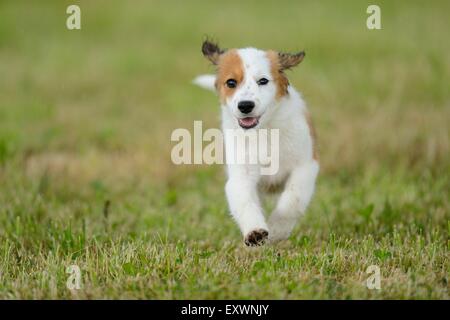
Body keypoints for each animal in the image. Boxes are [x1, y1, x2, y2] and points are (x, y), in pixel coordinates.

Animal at [195, 40, 318, 245]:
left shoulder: (305, 166)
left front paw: (277, 230)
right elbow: (245, 203)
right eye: (231, 82)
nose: (245, 106)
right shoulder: (241, 176)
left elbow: (293, 200)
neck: (265, 130)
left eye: (263, 81)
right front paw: (255, 232)